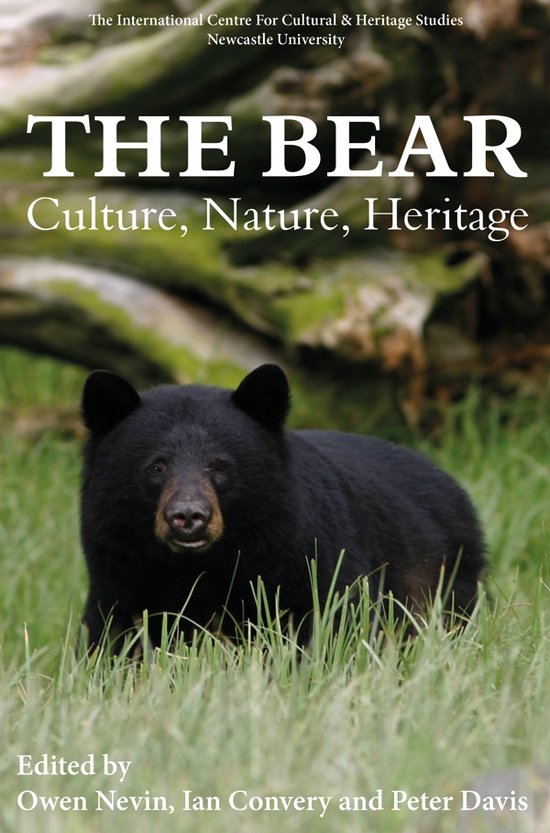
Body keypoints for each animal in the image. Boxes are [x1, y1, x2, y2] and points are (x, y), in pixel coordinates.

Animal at [80, 363, 486, 652]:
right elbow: (117, 638)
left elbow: (335, 623)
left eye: (221, 465)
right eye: (156, 467)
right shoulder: (122, 572)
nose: (189, 517)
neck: (202, 565)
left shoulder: (306, 560)